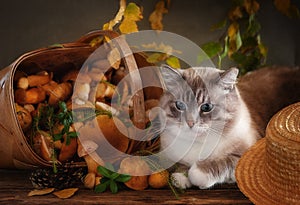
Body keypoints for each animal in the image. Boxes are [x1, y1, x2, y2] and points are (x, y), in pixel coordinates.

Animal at [157, 65, 300, 189]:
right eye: (180, 105)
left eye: (206, 107)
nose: (190, 123)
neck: (198, 144)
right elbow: (180, 166)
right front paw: (180, 177)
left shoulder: (242, 156)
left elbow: (218, 163)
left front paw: (195, 174)